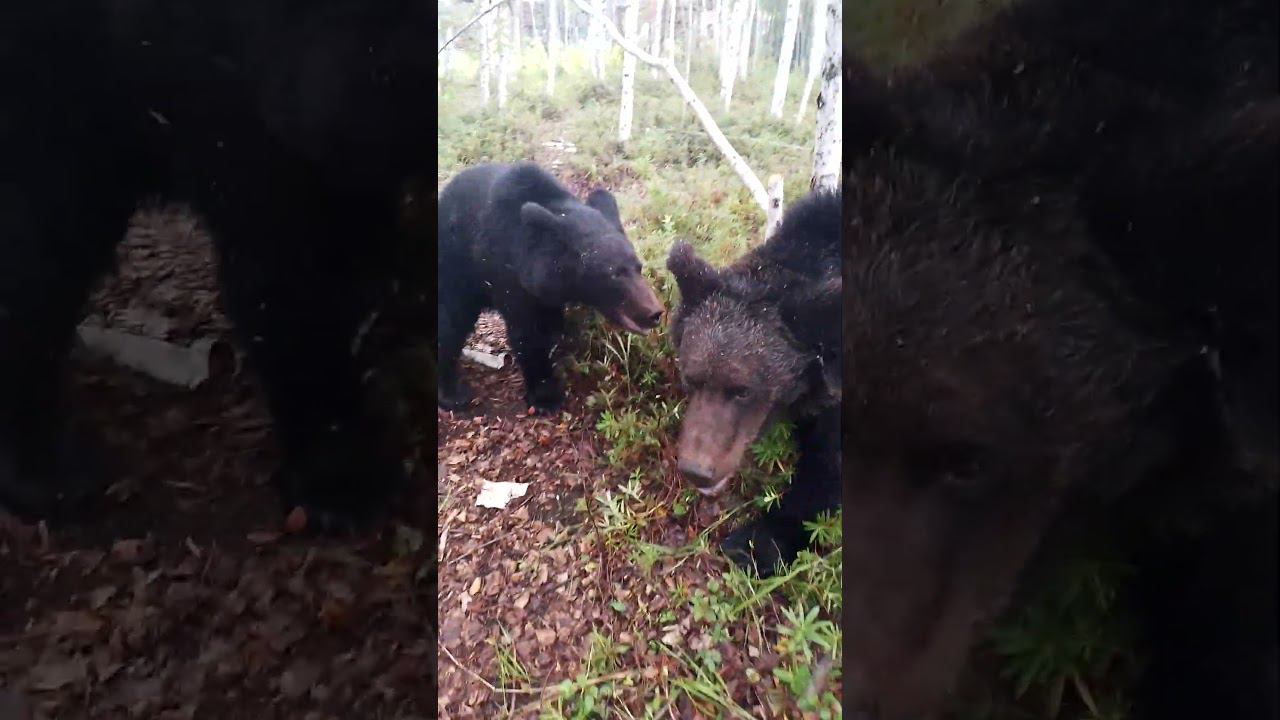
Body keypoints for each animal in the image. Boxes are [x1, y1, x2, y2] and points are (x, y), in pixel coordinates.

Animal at [436, 162, 664, 414]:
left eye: (638, 267)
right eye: (615, 273)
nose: (654, 312)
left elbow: (551, 325)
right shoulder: (508, 276)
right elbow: (528, 334)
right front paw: (546, 396)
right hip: (455, 265)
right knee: (452, 322)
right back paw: (452, 393)